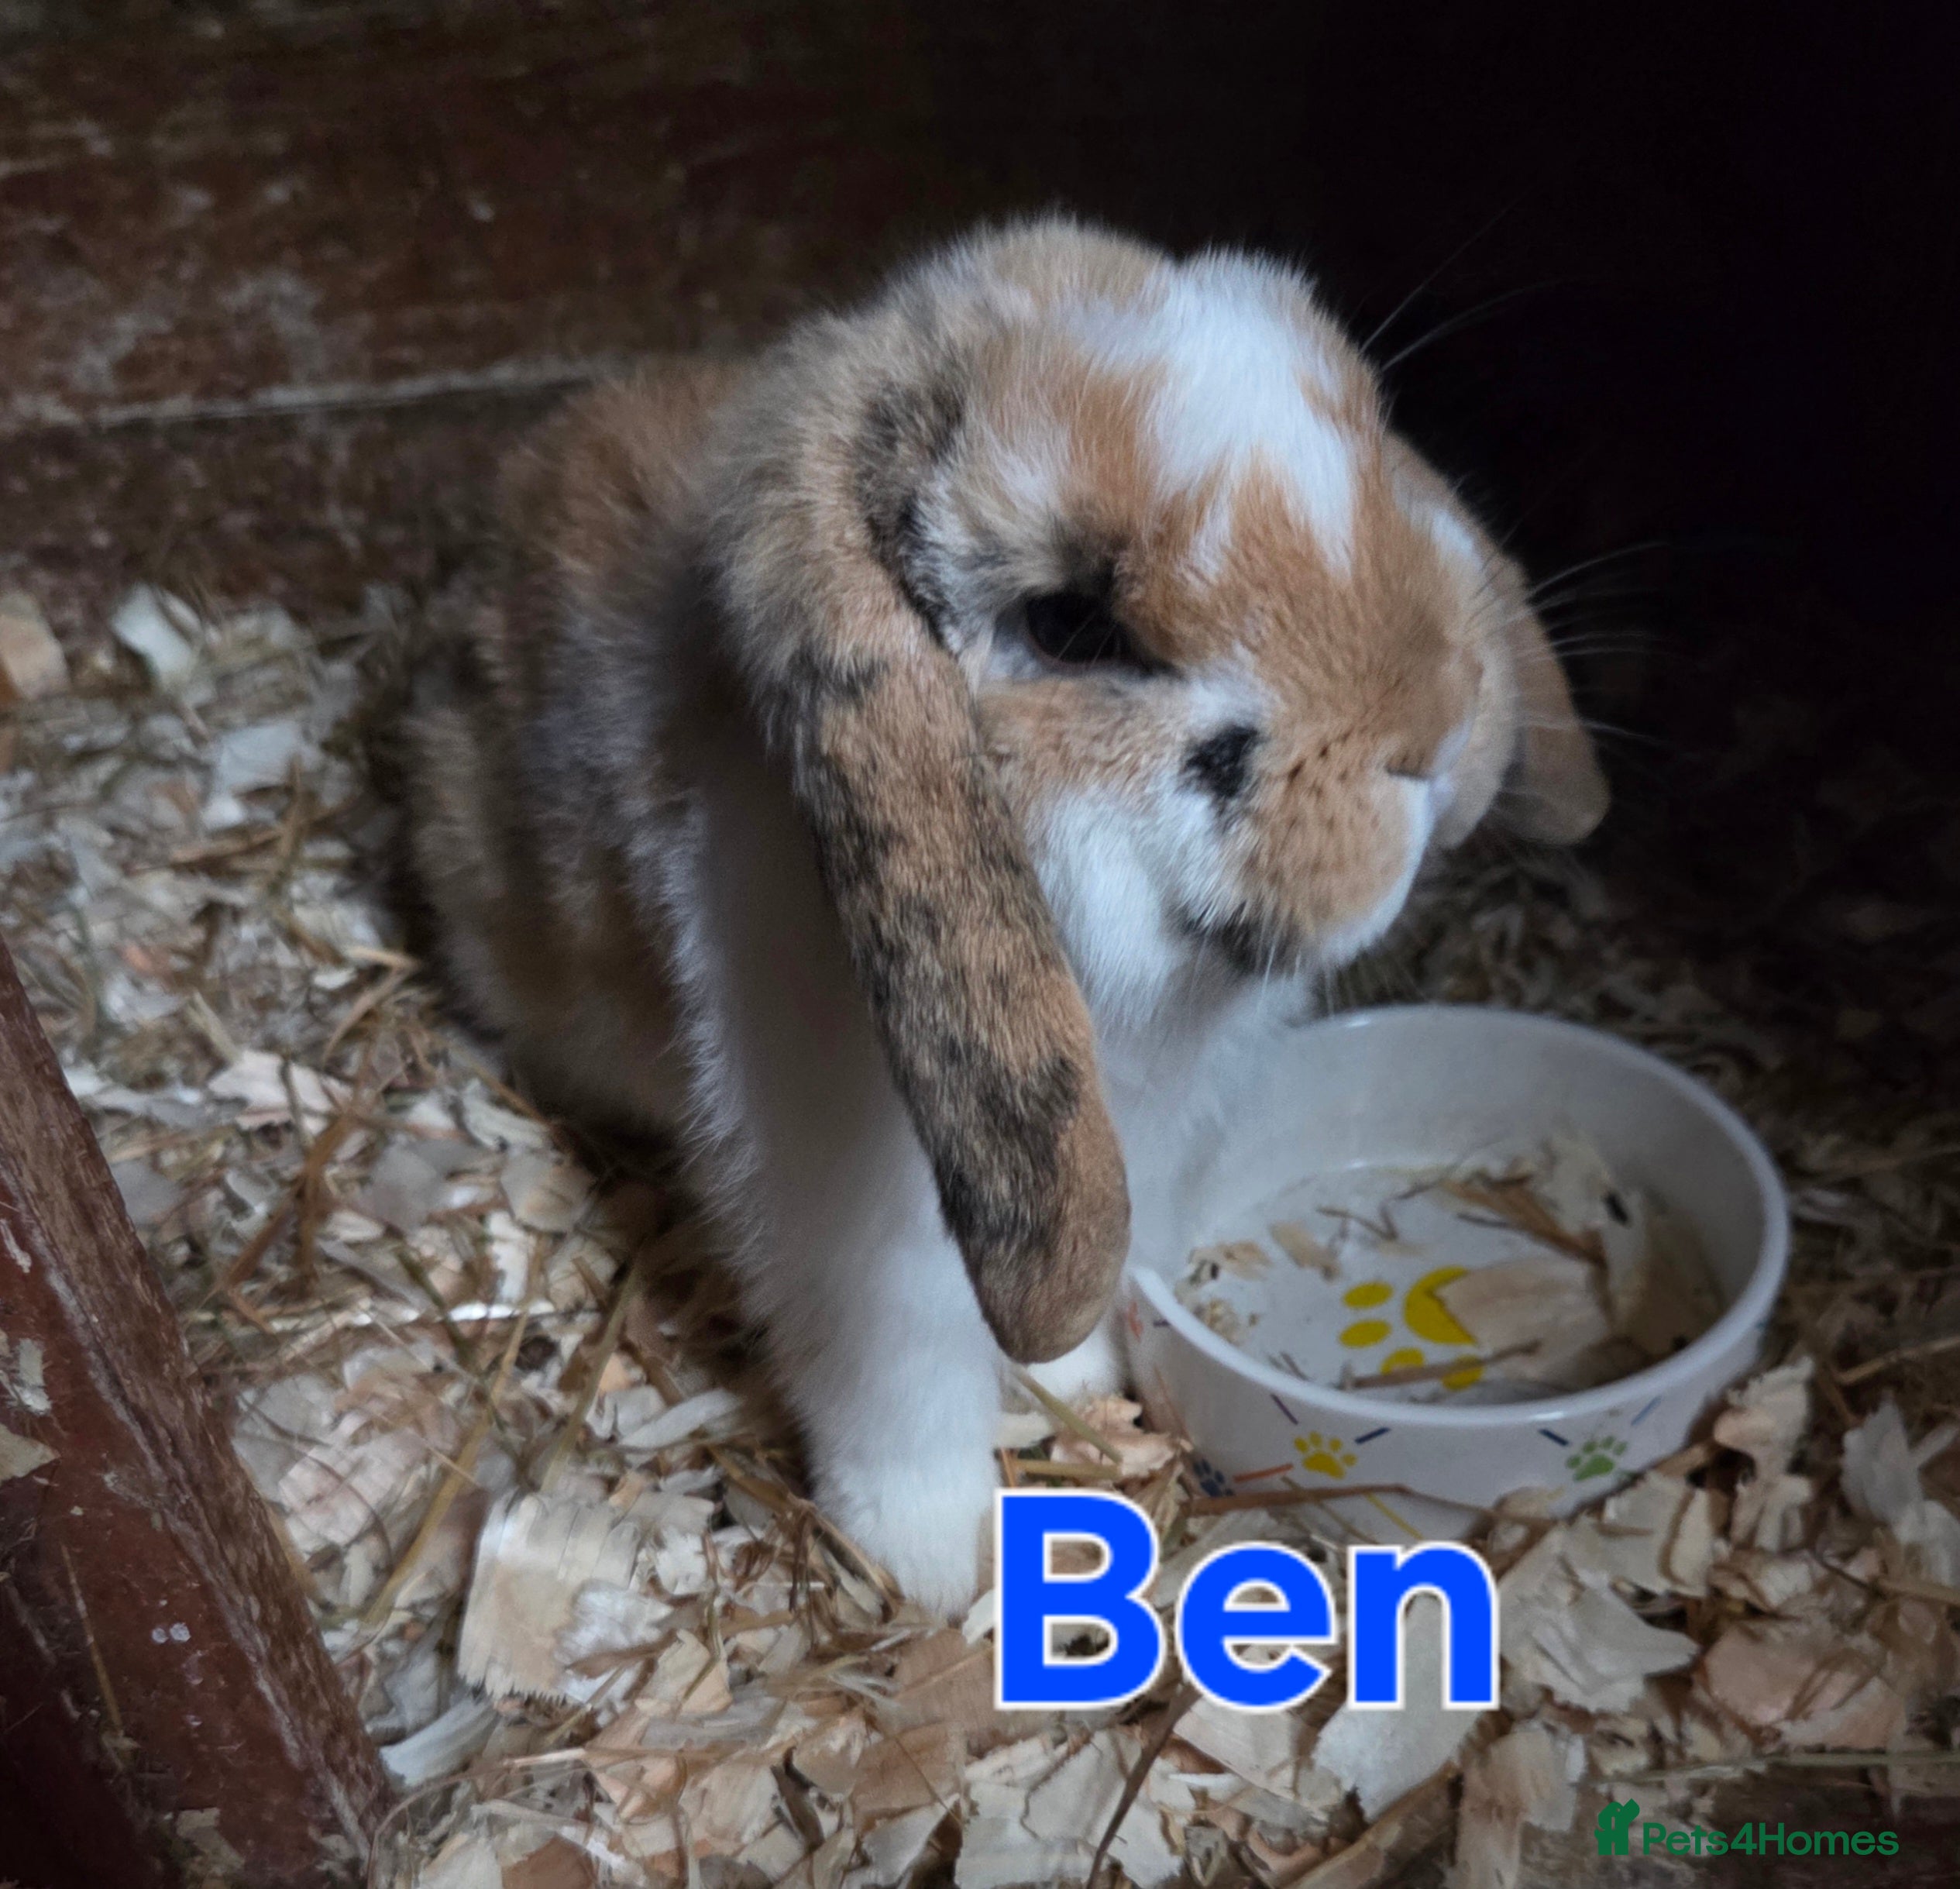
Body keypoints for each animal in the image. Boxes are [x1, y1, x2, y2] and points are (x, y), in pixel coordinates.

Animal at [402, 216, 1608, 1614]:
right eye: (1070, 622)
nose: (1438, 730)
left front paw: (1071, 1385)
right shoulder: (859, 1229)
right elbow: (901, 1385)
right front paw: (937, 1563)